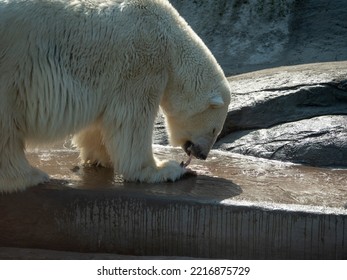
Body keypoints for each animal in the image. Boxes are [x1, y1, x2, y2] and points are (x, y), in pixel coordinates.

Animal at [0, 0, 231, 192]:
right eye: (215, 129)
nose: (202, 155)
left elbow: (101, 121)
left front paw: (99, 158)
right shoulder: (142, 62)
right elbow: (131, 121)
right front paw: (164, 169)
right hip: (12, 68)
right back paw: (28, 176)